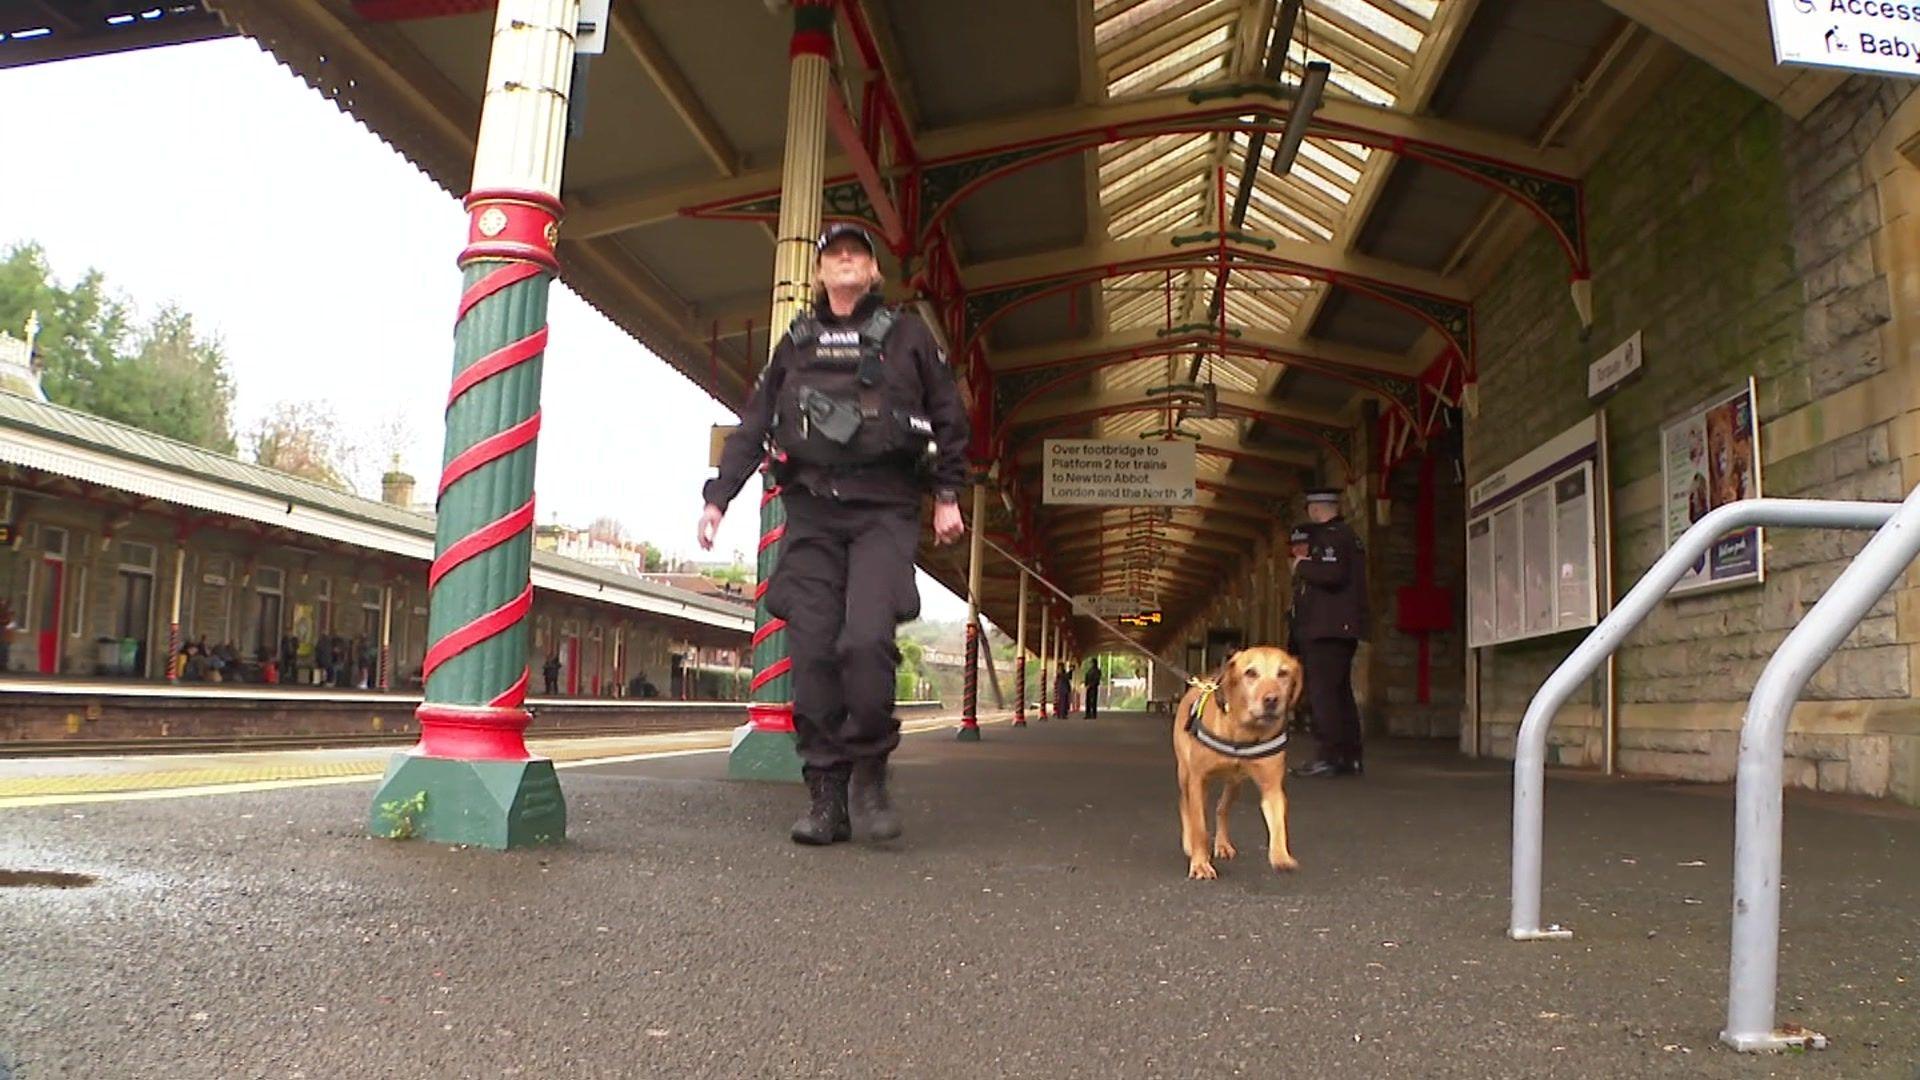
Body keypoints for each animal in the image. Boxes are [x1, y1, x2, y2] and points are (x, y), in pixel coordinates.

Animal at [1167, 641, 1305, 880]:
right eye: (1250, 673)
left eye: (1283, 673)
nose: (1271, 700)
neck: (1243, 732)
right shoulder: (1198, 779)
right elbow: (1199, 827)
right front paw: (1200, 863)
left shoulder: (1272, 786)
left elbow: (1278, 822)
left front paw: (1281, 856)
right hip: (1185, 774)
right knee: (1186, 804)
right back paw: (1190, 843)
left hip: (1235, 783)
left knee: (1222, 808)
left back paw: (1222, 844)